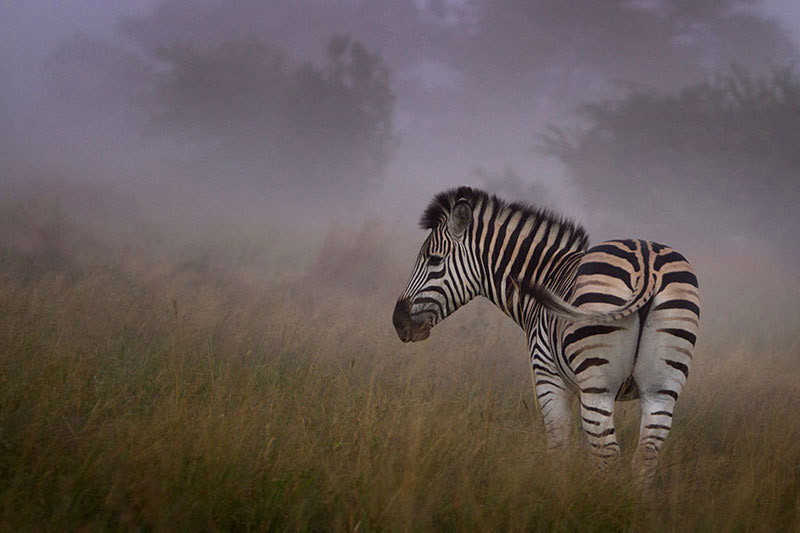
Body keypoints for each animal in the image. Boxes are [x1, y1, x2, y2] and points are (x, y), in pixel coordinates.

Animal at [394, 186, 700, 482]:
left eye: (434, 260)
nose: (398, 321)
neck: (545, 275)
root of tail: (646, 263)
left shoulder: (547, 375)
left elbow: (559, 447)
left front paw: (557, 492)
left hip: (597, 382)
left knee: (608, 454)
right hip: (662, 386)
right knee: (645, 456)